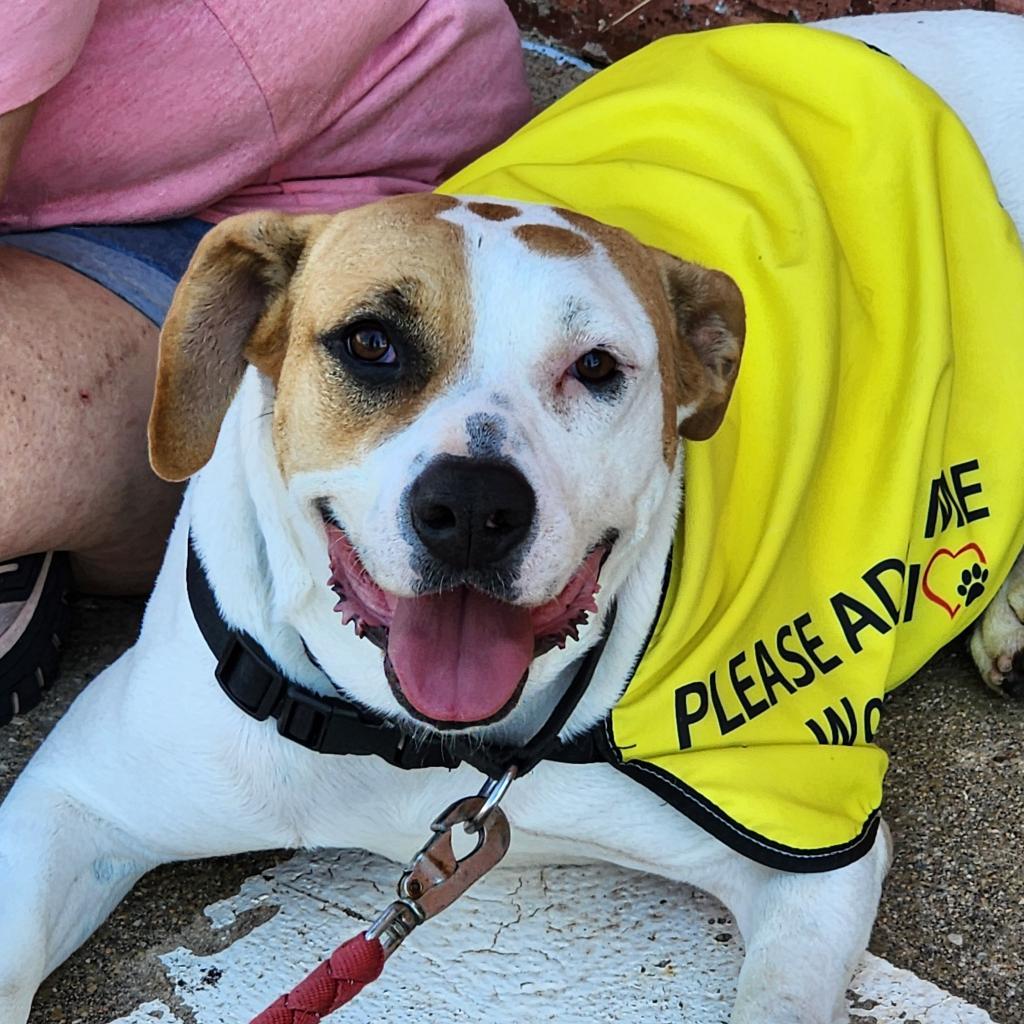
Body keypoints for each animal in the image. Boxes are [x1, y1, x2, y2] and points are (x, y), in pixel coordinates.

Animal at [2, 9, 1024, 1024]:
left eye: (598, 368)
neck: (419, 747)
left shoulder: (808, 852)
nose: (470, 507)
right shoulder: (74, 800)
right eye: (370, 342)